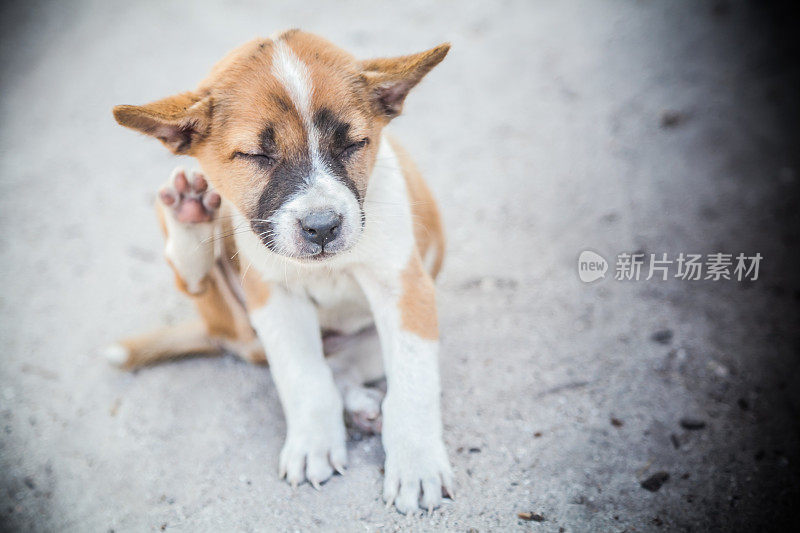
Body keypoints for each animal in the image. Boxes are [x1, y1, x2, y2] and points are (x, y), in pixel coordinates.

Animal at [109, 31, 454, 512]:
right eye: (256, 155)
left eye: (353, 144)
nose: (323, 226)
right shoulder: (273, 297)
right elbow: (302, 376)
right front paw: (313, 443)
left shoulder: (405, 288)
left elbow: (413, 382)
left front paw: (416, 463)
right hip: (231, 289)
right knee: (201, 284)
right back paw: (189, 216)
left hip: (367, 336)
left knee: (341, 365)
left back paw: (363, 407)